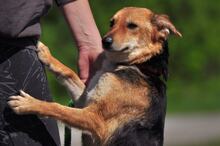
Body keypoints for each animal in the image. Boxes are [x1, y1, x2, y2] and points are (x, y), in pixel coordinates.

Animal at [7, 7, 181, 146]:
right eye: (112, 23)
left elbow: (58, 108)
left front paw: (28, 103)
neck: (141, 65)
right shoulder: (85, 100)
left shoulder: (96, 118)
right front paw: (47, 56)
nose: (104, 41)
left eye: (132, 26)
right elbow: (69, 73)